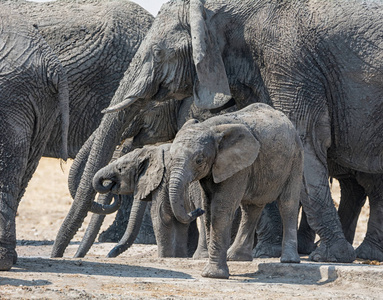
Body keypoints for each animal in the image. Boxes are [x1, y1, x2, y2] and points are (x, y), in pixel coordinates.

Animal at [170, 103, 304, 278]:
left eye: (199, 160)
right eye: (171, 158)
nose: (196, 210)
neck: (209, 127)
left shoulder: (237, 165)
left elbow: (220, 208)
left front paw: (213, 275)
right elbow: (209, 208)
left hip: (295, 157)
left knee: (288, 203)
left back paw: (289, 260)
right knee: (251, 208)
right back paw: (236, 257)